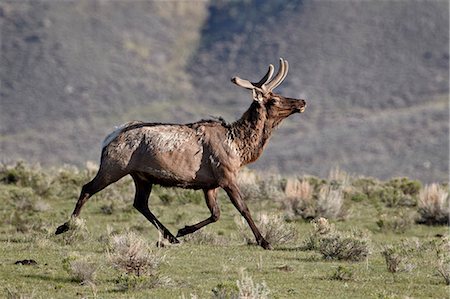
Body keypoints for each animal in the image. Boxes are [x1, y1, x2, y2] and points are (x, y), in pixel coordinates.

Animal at [55, 58, 306, 251]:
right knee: (87, 188)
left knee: (140, 204)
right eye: (274, 99)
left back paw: (170, 237)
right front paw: (265, 242)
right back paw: (65, 226)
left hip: (141, 176)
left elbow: (216, 214)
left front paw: (183, 230)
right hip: (114, 166)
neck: (239, 147)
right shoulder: (226, 175)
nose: (302, 101)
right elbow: (242, 208)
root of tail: (108, 138)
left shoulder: (210, 184)